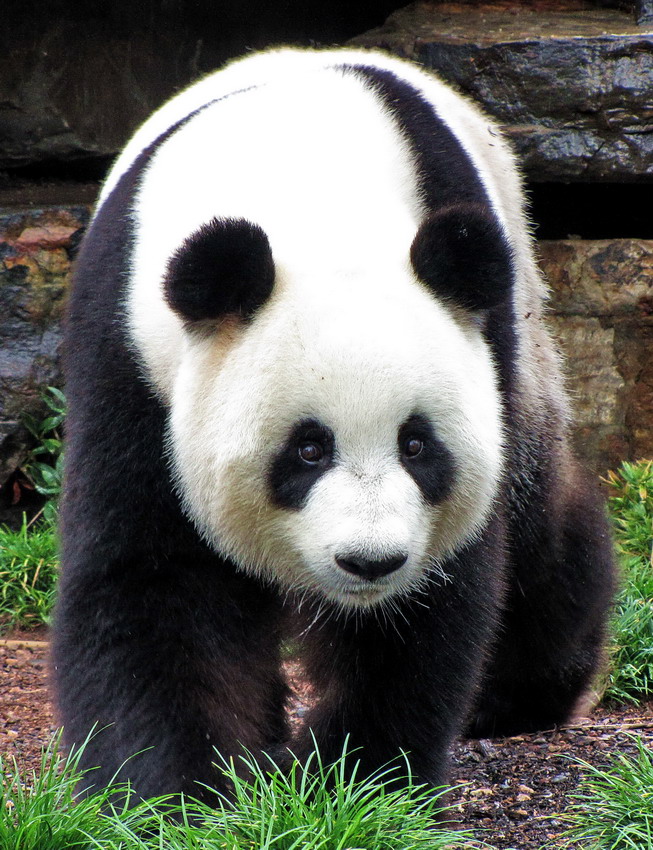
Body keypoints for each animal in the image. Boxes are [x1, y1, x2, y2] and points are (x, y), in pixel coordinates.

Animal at [52, 47, 615, 803]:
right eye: (307, 450)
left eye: (417, 444)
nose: (370, 562)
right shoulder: (129, 357)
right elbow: (152, 576)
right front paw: (180, 791)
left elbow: (424, 607)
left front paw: (348, 782)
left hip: (518, 324)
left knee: (538, 516)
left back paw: (520, 697)